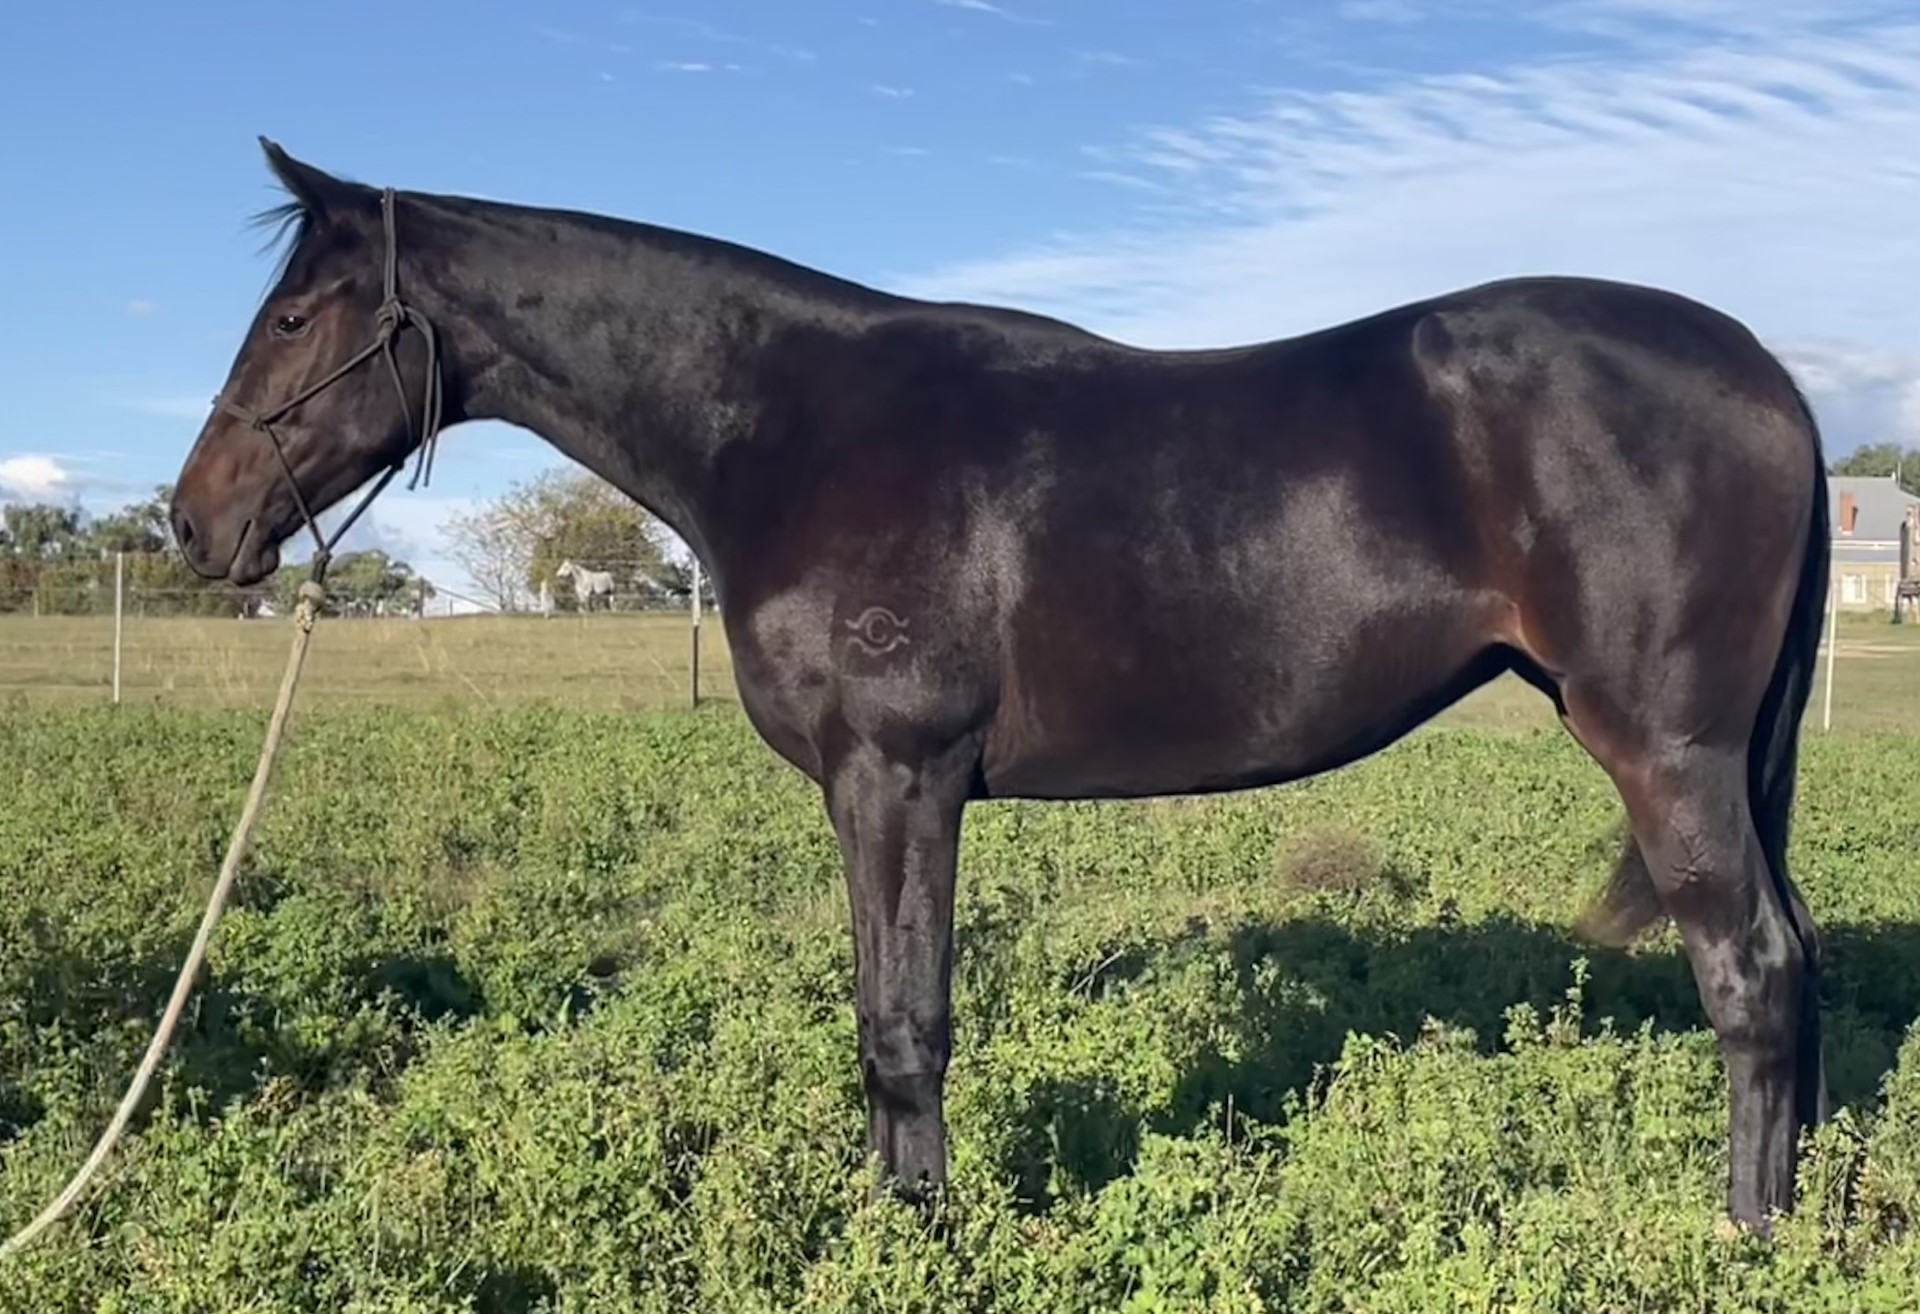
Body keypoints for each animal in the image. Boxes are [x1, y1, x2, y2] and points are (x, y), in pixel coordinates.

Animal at [168, 139, 1832, 1234]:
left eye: (297, 316)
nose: (196, 523)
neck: (792, 426)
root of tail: (1768, 373)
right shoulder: (884, 785)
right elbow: (888, 1016)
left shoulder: (896, 772)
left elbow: (904, 1025)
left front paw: (920, 1236)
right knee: (1796, 958)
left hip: (1666, 749)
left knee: (1749, 970)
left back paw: (1744, 1232)